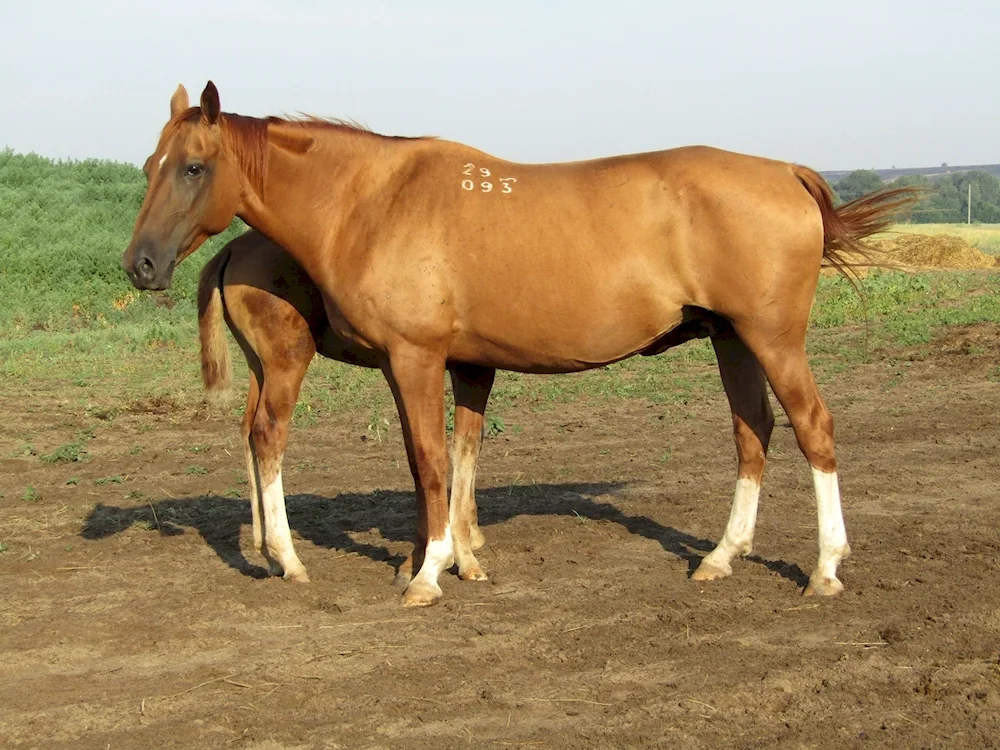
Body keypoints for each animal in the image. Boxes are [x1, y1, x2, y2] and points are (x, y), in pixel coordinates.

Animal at [123, 83, 916, 612]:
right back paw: (722, 557)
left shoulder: (416, 359)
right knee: (754, 435)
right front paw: (447, 560)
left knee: (814, 430)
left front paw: (429, 572)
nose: (141, 265)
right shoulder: (444, 365)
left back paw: (825, 567)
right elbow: (443, 462)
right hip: (733, 341)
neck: (372, 202)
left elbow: (433, 462)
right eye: (149, 164)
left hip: (772, 340)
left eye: (192, 166)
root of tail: (785, 172)